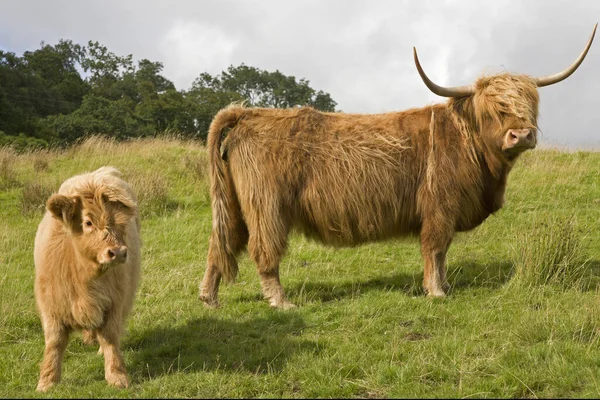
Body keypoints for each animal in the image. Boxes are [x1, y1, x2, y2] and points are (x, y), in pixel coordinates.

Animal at [34, 166, 142, 390]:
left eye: (121, 223)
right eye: (88, 222)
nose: (118, 253)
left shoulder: (114, 302)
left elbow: (110, 337)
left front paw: (117, 376)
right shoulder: (51, 305)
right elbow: (54, 342)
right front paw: (47, 381)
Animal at [200, 24, 596, 310]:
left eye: (530, 104)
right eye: (491, 110)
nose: (521, 134)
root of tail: (247, 113)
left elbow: (442, 251)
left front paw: (444, 284)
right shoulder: (439, 208)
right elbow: (435, 247)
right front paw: (436, 292)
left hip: (234, 204)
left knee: (220, 243)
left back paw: (209, 298)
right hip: (267, 207)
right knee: (263, 251)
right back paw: (281, 302)